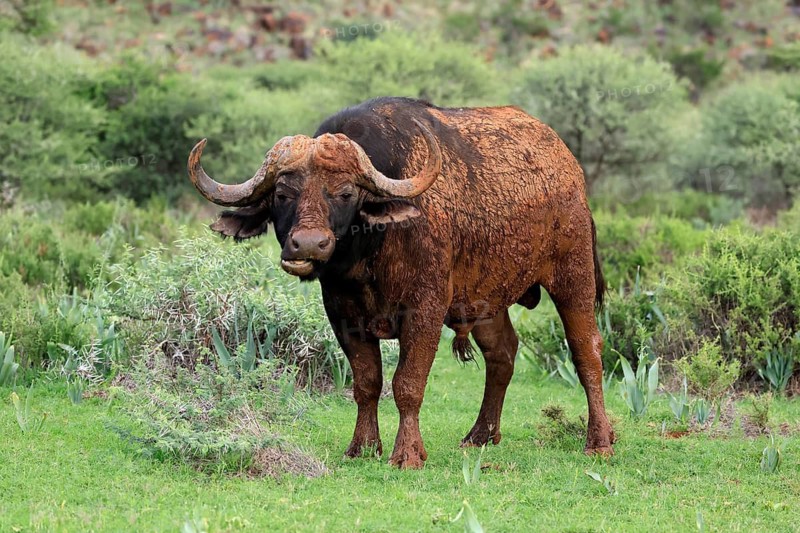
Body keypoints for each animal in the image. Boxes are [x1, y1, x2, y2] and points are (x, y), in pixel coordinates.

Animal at [187, 97, 615, 468]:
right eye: (282, 194)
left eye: (346, 193)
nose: (308, 244)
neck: (368, 258)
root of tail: (568, 166)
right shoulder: (343, 316)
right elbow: (367, 383)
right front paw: (362, 447)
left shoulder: (425, 311)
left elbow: (407, 384)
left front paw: (407, 454)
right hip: (485, 299)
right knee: (502, 354)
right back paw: (480, 435)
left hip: (573, 275)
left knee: (586, 351)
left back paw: (599, 440)